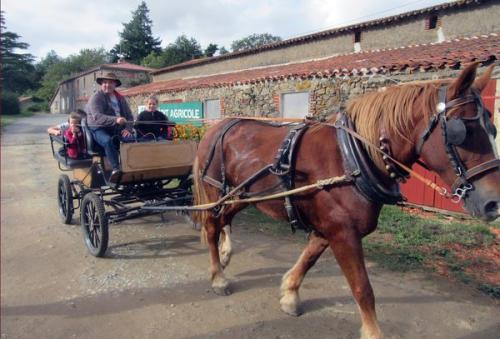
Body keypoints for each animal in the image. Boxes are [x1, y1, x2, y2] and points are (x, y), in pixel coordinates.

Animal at [189, 62, 498, 338]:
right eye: (462, 132)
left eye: (492, 130)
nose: (493, 203)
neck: (353, 157)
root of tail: (216, 128)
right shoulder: (343, 232)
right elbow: (363, 288)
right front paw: (372, 332)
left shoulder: (329, 228)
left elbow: (309, 258)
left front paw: (290, 293)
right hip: (216, 191)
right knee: (212, 225)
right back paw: (218, 276)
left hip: (242, 194)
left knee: (225, 219)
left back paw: (226, 255)